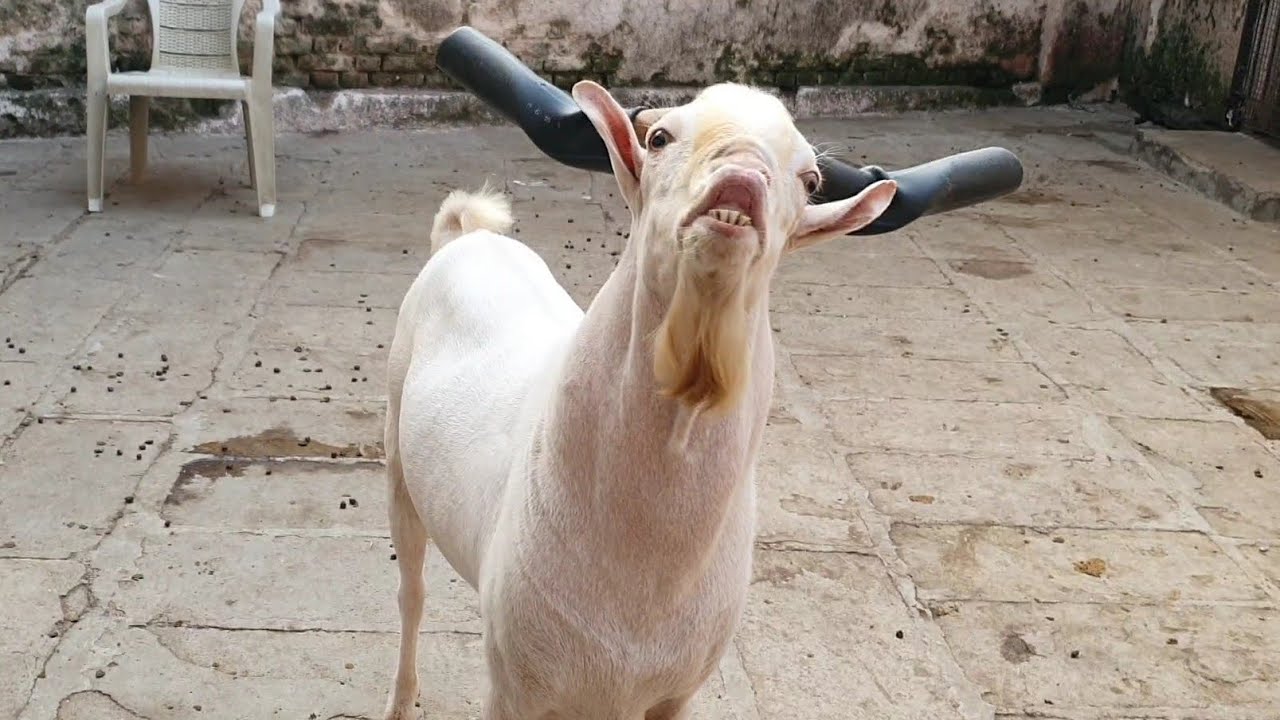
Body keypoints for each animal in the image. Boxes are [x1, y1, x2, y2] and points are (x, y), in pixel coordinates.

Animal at [383, 80, 897, 720]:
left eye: (810, 180)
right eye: (658, 138)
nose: (742, 179)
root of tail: (468, 235)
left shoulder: (676, 690)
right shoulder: (515, 681)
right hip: (396, 443)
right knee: (412, 590)